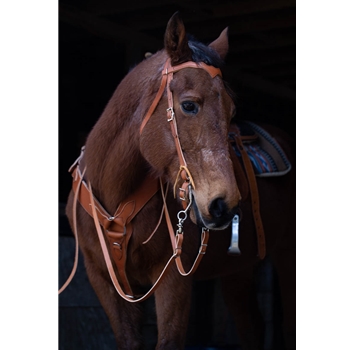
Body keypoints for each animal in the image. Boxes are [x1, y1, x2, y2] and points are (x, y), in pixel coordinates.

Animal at [63, 11, 296, 350]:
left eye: (232, 112)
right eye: (189, 105)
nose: (224, 205)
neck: (115, 193)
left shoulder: (173, 280)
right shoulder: (104, 281)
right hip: (238, 270)